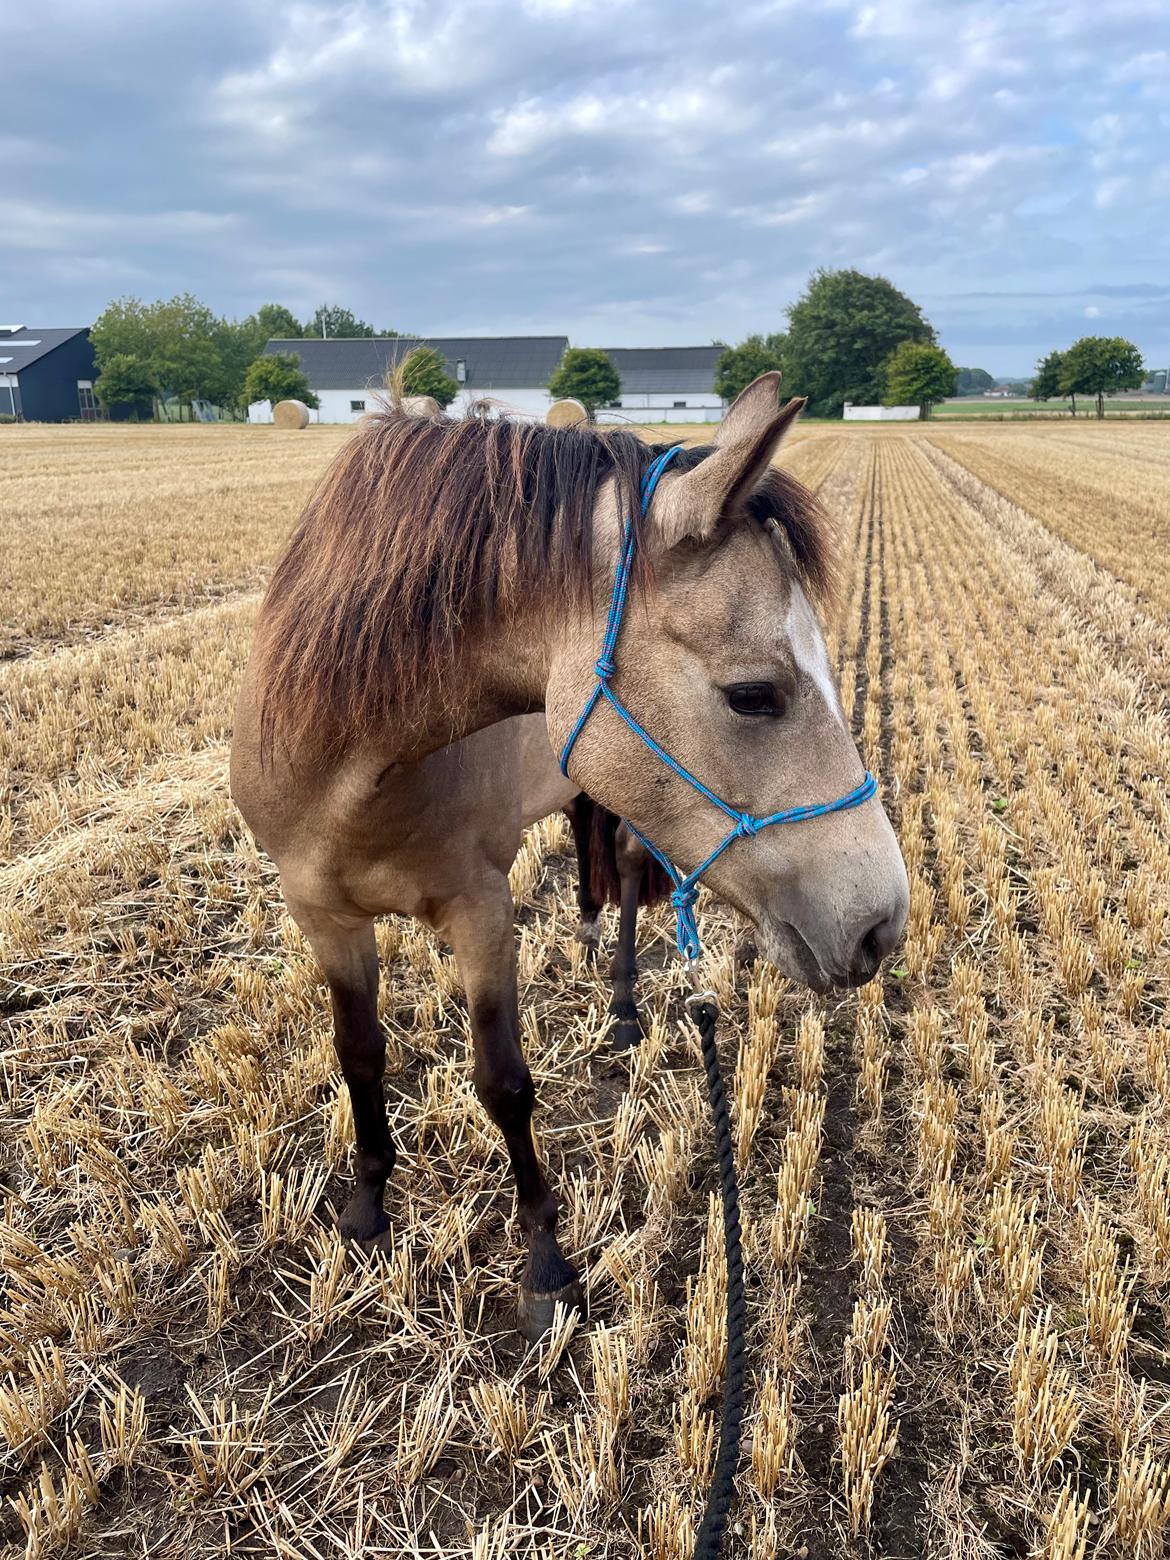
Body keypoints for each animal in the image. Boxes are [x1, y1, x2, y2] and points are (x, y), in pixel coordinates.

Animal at [229, 374, 904, 1341]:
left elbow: (504, 1082)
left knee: (616, 867)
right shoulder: (322, 913)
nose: (882, 923)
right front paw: (365, 1212)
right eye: (753, 695)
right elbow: (358, 1055)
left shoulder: (480, 911)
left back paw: (619, 1003)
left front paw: (545, 1265)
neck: (352, 761)